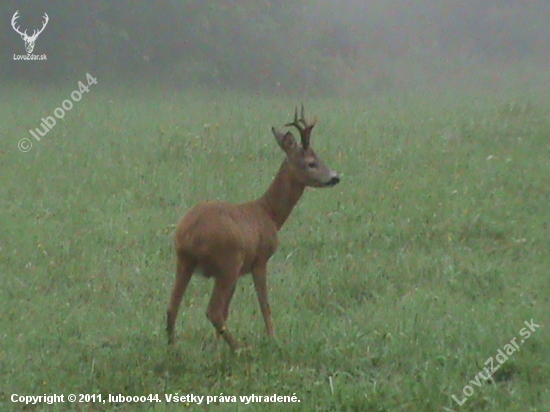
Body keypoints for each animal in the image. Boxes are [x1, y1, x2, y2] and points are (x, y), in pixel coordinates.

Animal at [167, 106, 340, 350]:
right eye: (311, 163)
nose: (335, 177)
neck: (268, 213)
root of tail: (188, 235)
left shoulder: (242, 268)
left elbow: (230, 310)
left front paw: (215, 348)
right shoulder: (259, 260)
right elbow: (264, 305)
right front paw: (273, 339)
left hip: (185, 262)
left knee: (173, 307)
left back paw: (174, 348)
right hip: (228, 260)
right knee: (213, 311)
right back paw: (239, 348)